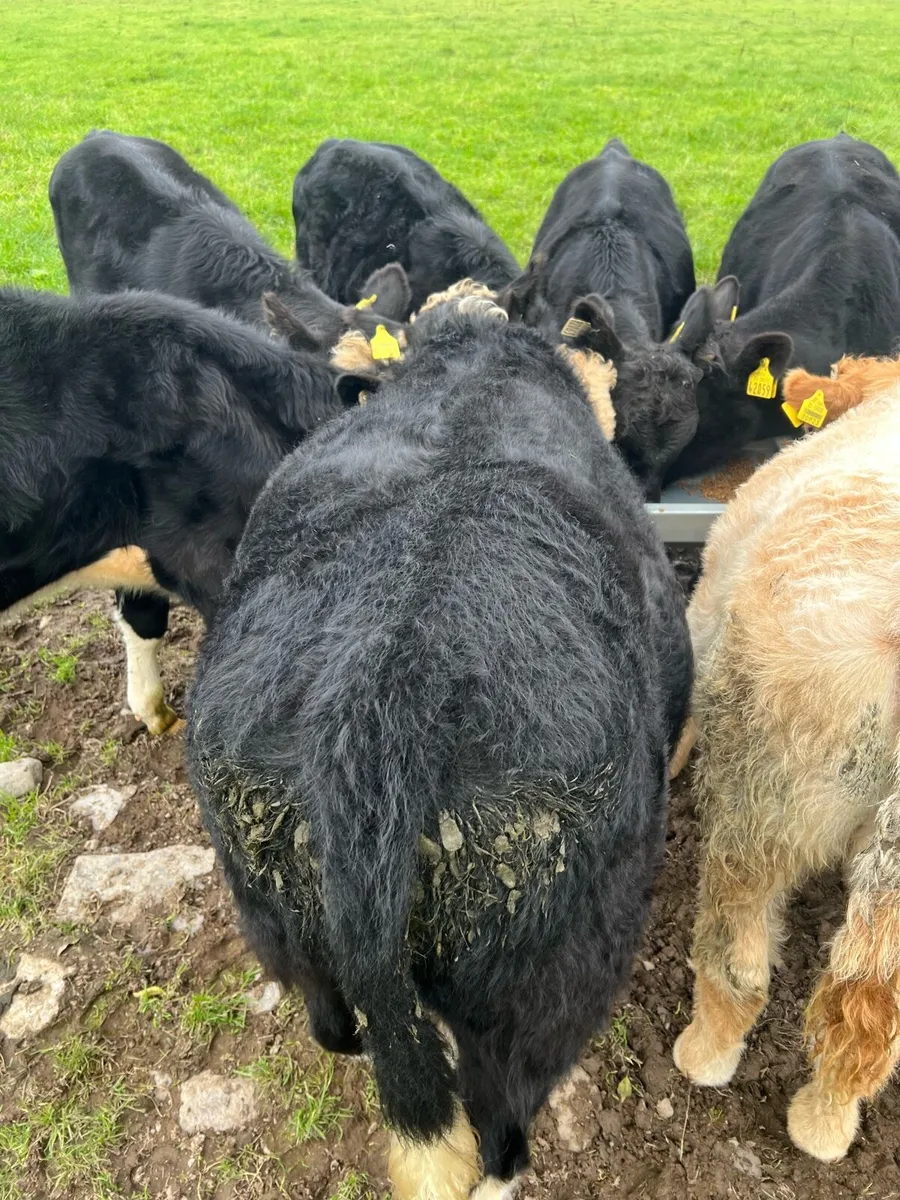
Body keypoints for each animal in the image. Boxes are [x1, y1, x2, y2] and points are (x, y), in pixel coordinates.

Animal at [186, 285, 692, 1200]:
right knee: (499, 1129)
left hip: (271, 909)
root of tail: (384, 683)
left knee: (331, 1020)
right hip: (544, 992)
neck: (473, 369)